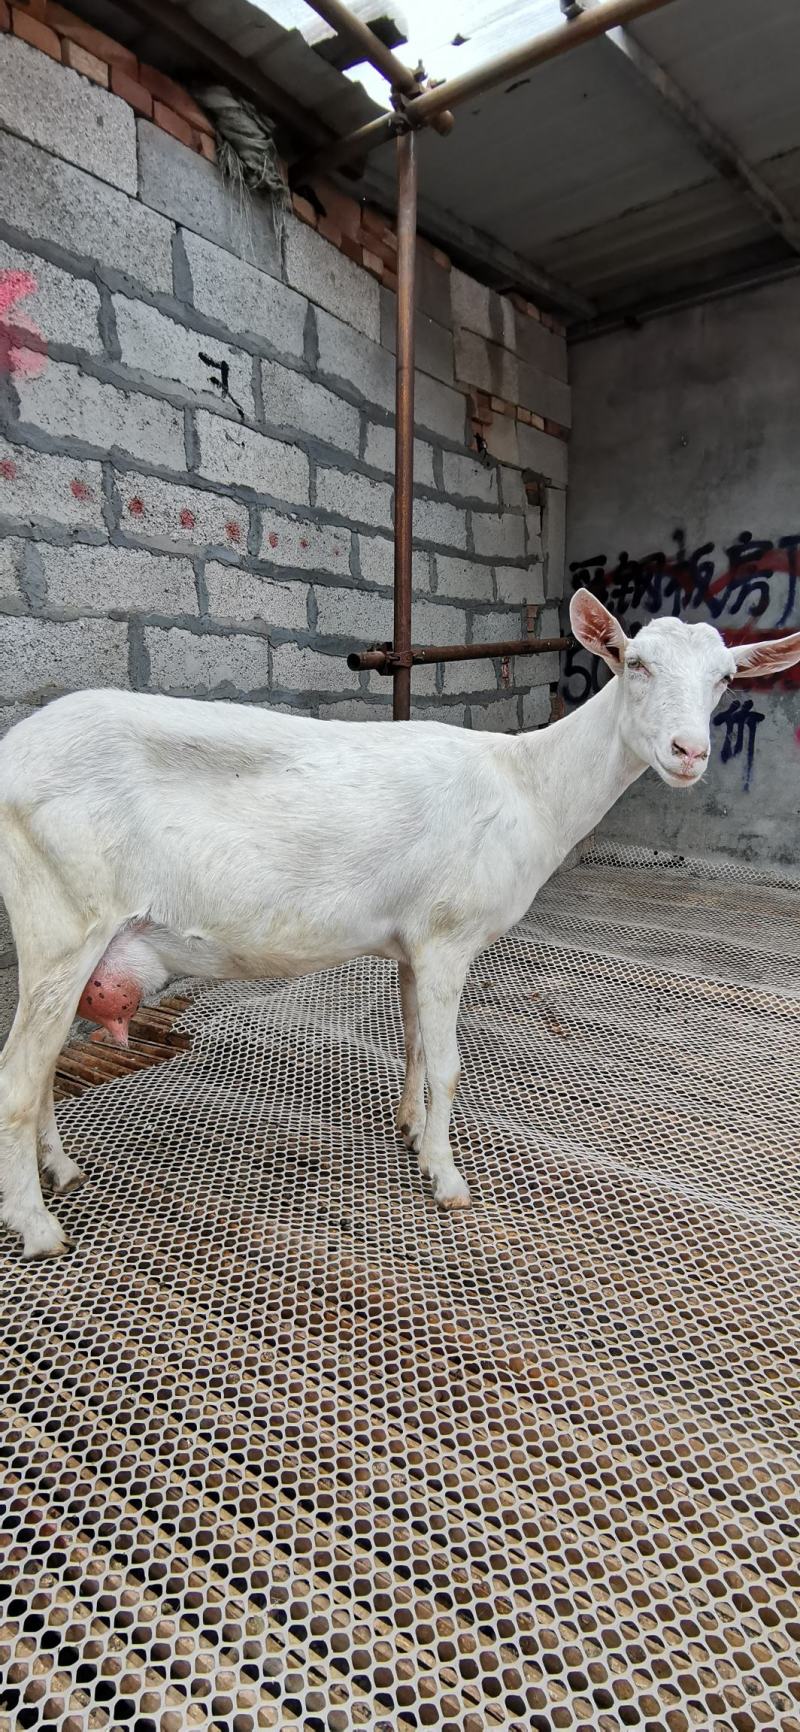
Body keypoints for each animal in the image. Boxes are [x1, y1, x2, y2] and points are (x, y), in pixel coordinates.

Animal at [1, 587, 798, 1260]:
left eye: (726, 678)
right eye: (636, 663)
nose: (689, 753)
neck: (528, 785)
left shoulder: (415, 940)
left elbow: (413, 1039)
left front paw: (411, 1129)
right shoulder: (448, 935)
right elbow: (446, 1063)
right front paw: (446, 1178)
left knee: (42, 1068)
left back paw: (63, 1169)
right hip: (63, 920)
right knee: (18, 1073)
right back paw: (38, 1226)